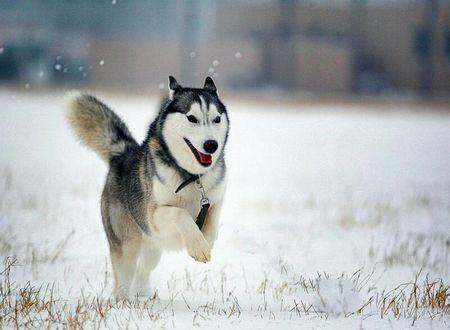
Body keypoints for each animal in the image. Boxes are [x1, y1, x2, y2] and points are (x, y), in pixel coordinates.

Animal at [66, 76, 229, 298]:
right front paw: (198, 246)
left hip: (153, 249)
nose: (211, 145)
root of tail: (123, 153)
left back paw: (142, 292)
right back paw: (123, 300)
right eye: (192, 118)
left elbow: (213, 219)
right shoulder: (152, 217)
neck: (191, 176)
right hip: (127, 244)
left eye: (217, 119)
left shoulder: (217, 197)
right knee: (124, 277)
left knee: (143, 269)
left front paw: (206, 241)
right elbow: (181, 214)